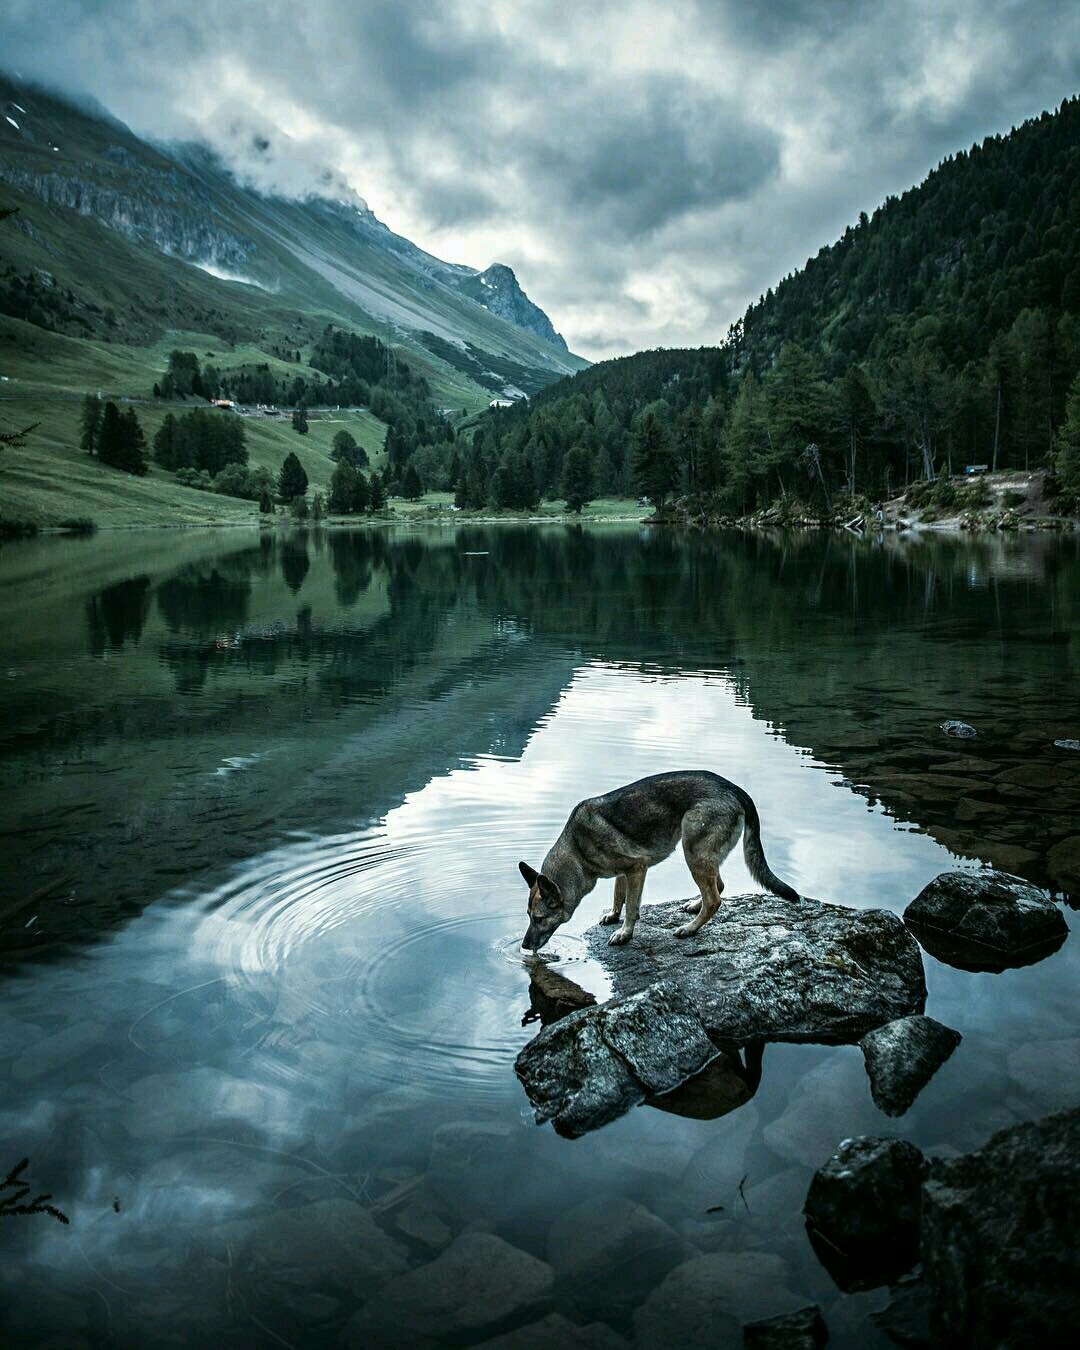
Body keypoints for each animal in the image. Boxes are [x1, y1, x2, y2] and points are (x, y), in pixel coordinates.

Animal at [518, 772, 799, 950]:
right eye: (529, 916)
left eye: (539, 919)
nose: (524, 946)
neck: (577, 849)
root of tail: (735, 789)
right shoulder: (623, 872)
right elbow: (618, 896)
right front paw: (613, 915)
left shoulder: (636, 869)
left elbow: (631, 906)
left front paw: (625, 933)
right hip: (702, 854)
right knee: (717, 887)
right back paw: (694, 906)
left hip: (693, 851)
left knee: (714, 899)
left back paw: (690, 928)